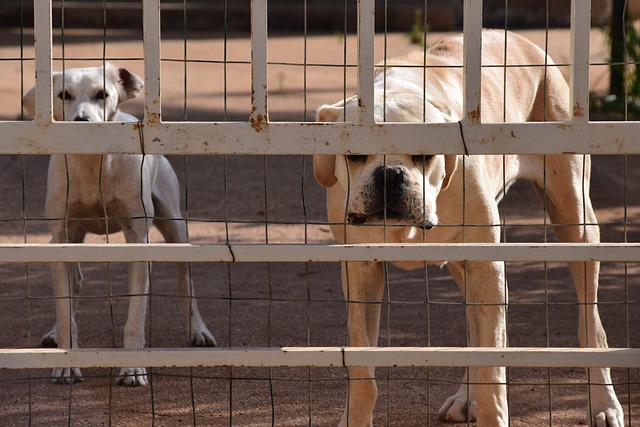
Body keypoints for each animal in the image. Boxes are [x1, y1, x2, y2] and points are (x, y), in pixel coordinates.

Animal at [23, 63, 218, 388]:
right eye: (64, 95)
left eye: (102, 94)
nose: (82, 121)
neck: (94, 167)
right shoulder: (60, 238)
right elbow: (65, 309)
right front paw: (66, 363)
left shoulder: (138, 239)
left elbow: (135, 317)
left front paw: (132, 369)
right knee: (74, 285)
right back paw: (53, 333)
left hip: (175, 226)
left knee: (185, 282)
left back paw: (198, 330)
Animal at [316, 30, 624, 427]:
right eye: (354, 155)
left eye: (424, 154)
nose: (390, 174)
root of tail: (517, 38)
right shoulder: (360, 272)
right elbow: (361, 366)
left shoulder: (485, 265)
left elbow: (492, 365)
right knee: (477, 331)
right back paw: (467, 397)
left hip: (574, 221)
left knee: (589, 323)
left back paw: (604, 403)